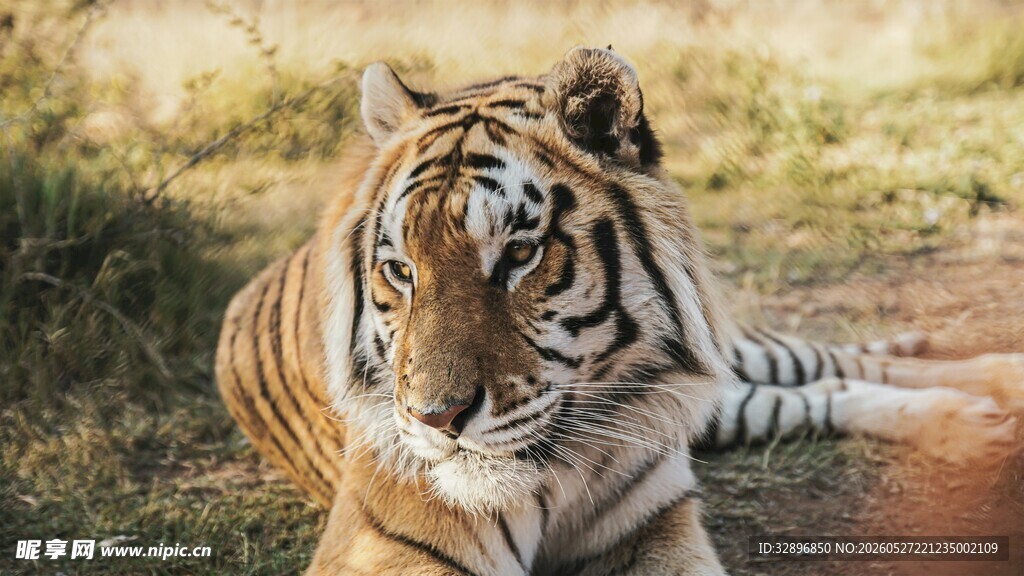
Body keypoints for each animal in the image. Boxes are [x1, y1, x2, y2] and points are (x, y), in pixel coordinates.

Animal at [215, 47, 1023, 575]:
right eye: (399, 271)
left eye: (518, 254)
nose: (435, 420)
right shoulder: (383, 541)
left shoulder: (657, 527)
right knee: (822, 389)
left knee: (834, 361)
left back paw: (997, 385)